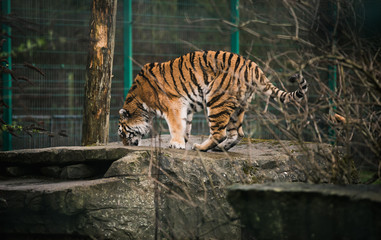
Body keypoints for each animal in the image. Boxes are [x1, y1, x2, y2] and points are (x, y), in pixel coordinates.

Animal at [117, 50, 308, 152]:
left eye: (122, 134)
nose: (125, 145)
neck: (141, 105)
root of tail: (253, 66)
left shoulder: (173, 105)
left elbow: (176, 126)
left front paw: (176, 144)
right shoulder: (186, 107)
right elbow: (185, 125)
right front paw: (183, 141)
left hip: (217, 100)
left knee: (220, 133)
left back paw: (201, 148)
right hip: (238, 106)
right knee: (237, 133)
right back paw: (219, 149)